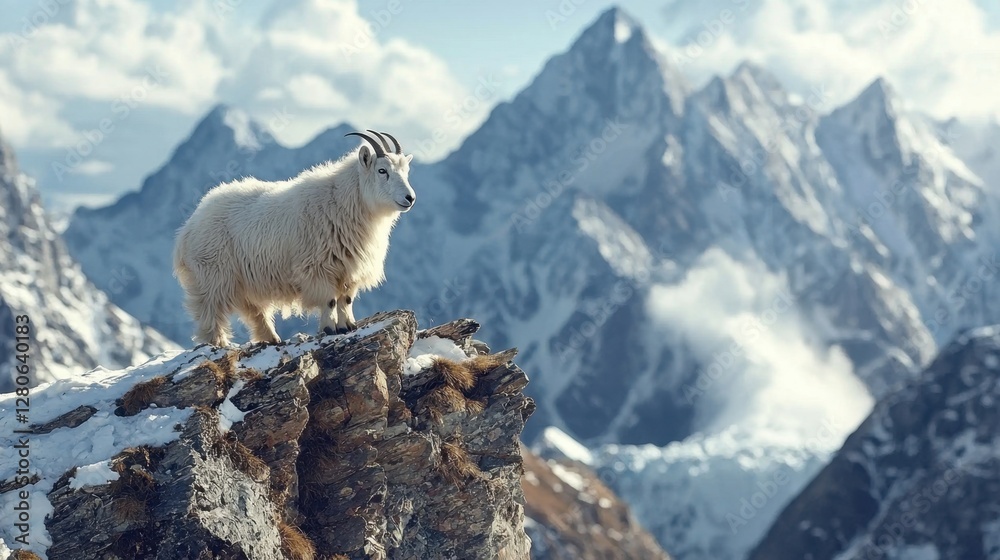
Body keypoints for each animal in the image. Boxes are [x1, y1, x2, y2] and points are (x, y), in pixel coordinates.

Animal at [173, 130, 415, 346]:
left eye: (406, 171)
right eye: (382, 170)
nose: (410, 198)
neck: (343, 201)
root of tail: (187, 228)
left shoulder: (348, 269)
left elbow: (345, 300)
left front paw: (348, 326)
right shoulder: (317, 268)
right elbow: (329, 300)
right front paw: (329, 328)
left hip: (244, 281)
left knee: (254, 310)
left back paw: (272, 338)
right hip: (213, 274)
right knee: (209, 310)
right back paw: (217, 342)